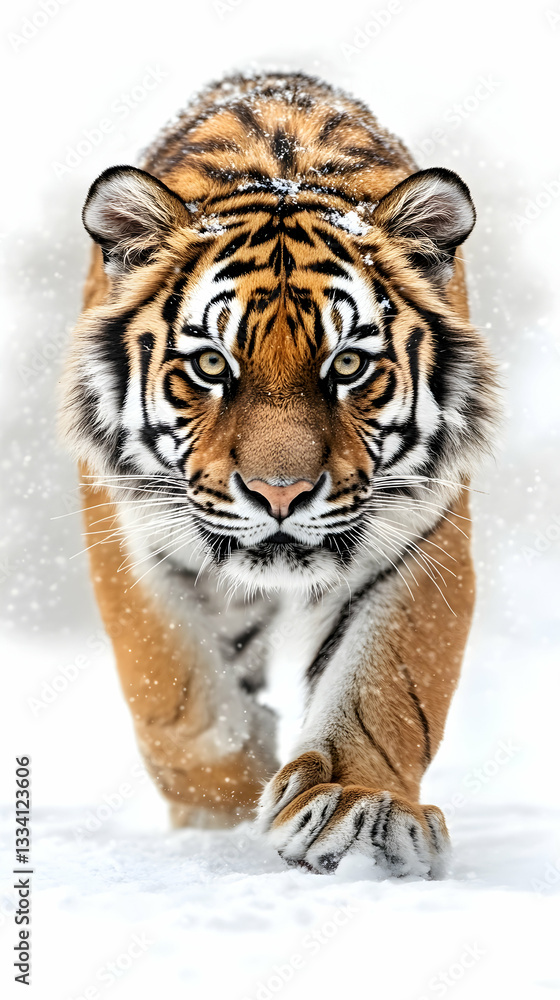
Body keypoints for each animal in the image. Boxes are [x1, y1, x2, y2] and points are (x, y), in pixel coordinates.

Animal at [59, 72, 498, 879]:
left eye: (348, 366)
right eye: (211, 365)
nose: (280, 494)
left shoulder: (418, 532)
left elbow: (386, 684)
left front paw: (361, 811)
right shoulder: (132, 529)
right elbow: (179, 697)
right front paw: (229, 813)